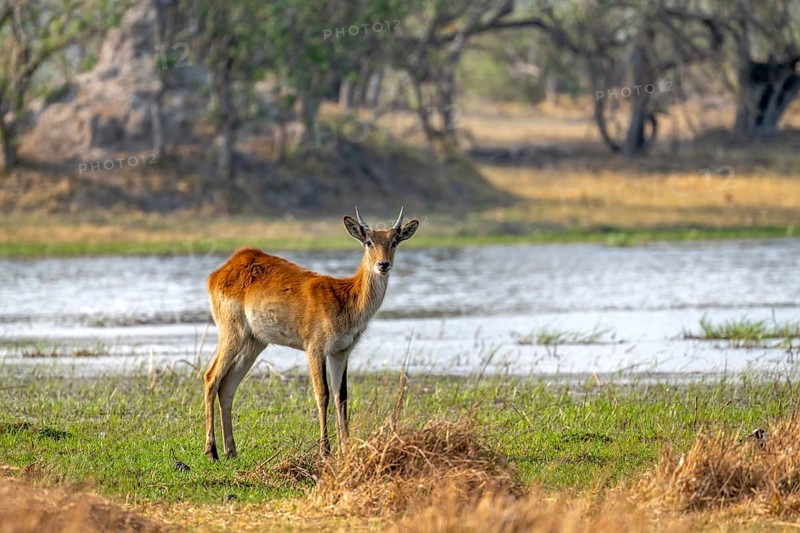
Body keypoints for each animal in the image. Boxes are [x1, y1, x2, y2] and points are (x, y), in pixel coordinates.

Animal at [203, 207, 419, 460]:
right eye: (368, 242)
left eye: (394, 241)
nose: (383, 264)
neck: (346, 299)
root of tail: (220, 272)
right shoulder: (314, 348)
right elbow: (322, 394)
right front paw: (325, 450)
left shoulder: (341, 352)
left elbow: (342, 396)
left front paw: (346, 448)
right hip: (231, 333)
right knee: (211, 377)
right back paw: (211, 451)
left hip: (255, 342)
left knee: (227, 385)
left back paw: (231, 451)